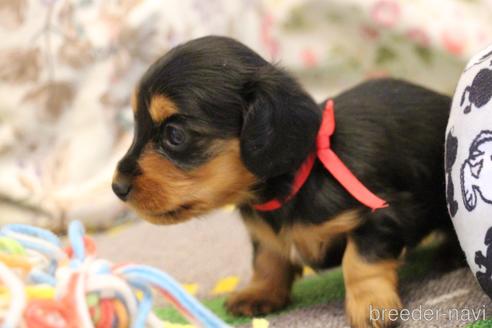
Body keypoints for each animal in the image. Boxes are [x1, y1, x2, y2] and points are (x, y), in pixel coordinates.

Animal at [111, 36, 454, 328]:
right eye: (136, 125)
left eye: (175, 134)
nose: (117, 188)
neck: (299, 180)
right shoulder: (264, 236)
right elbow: (267, 259)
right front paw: (259, 293)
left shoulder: (382, 213)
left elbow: (358, 262)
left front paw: (370, 304)